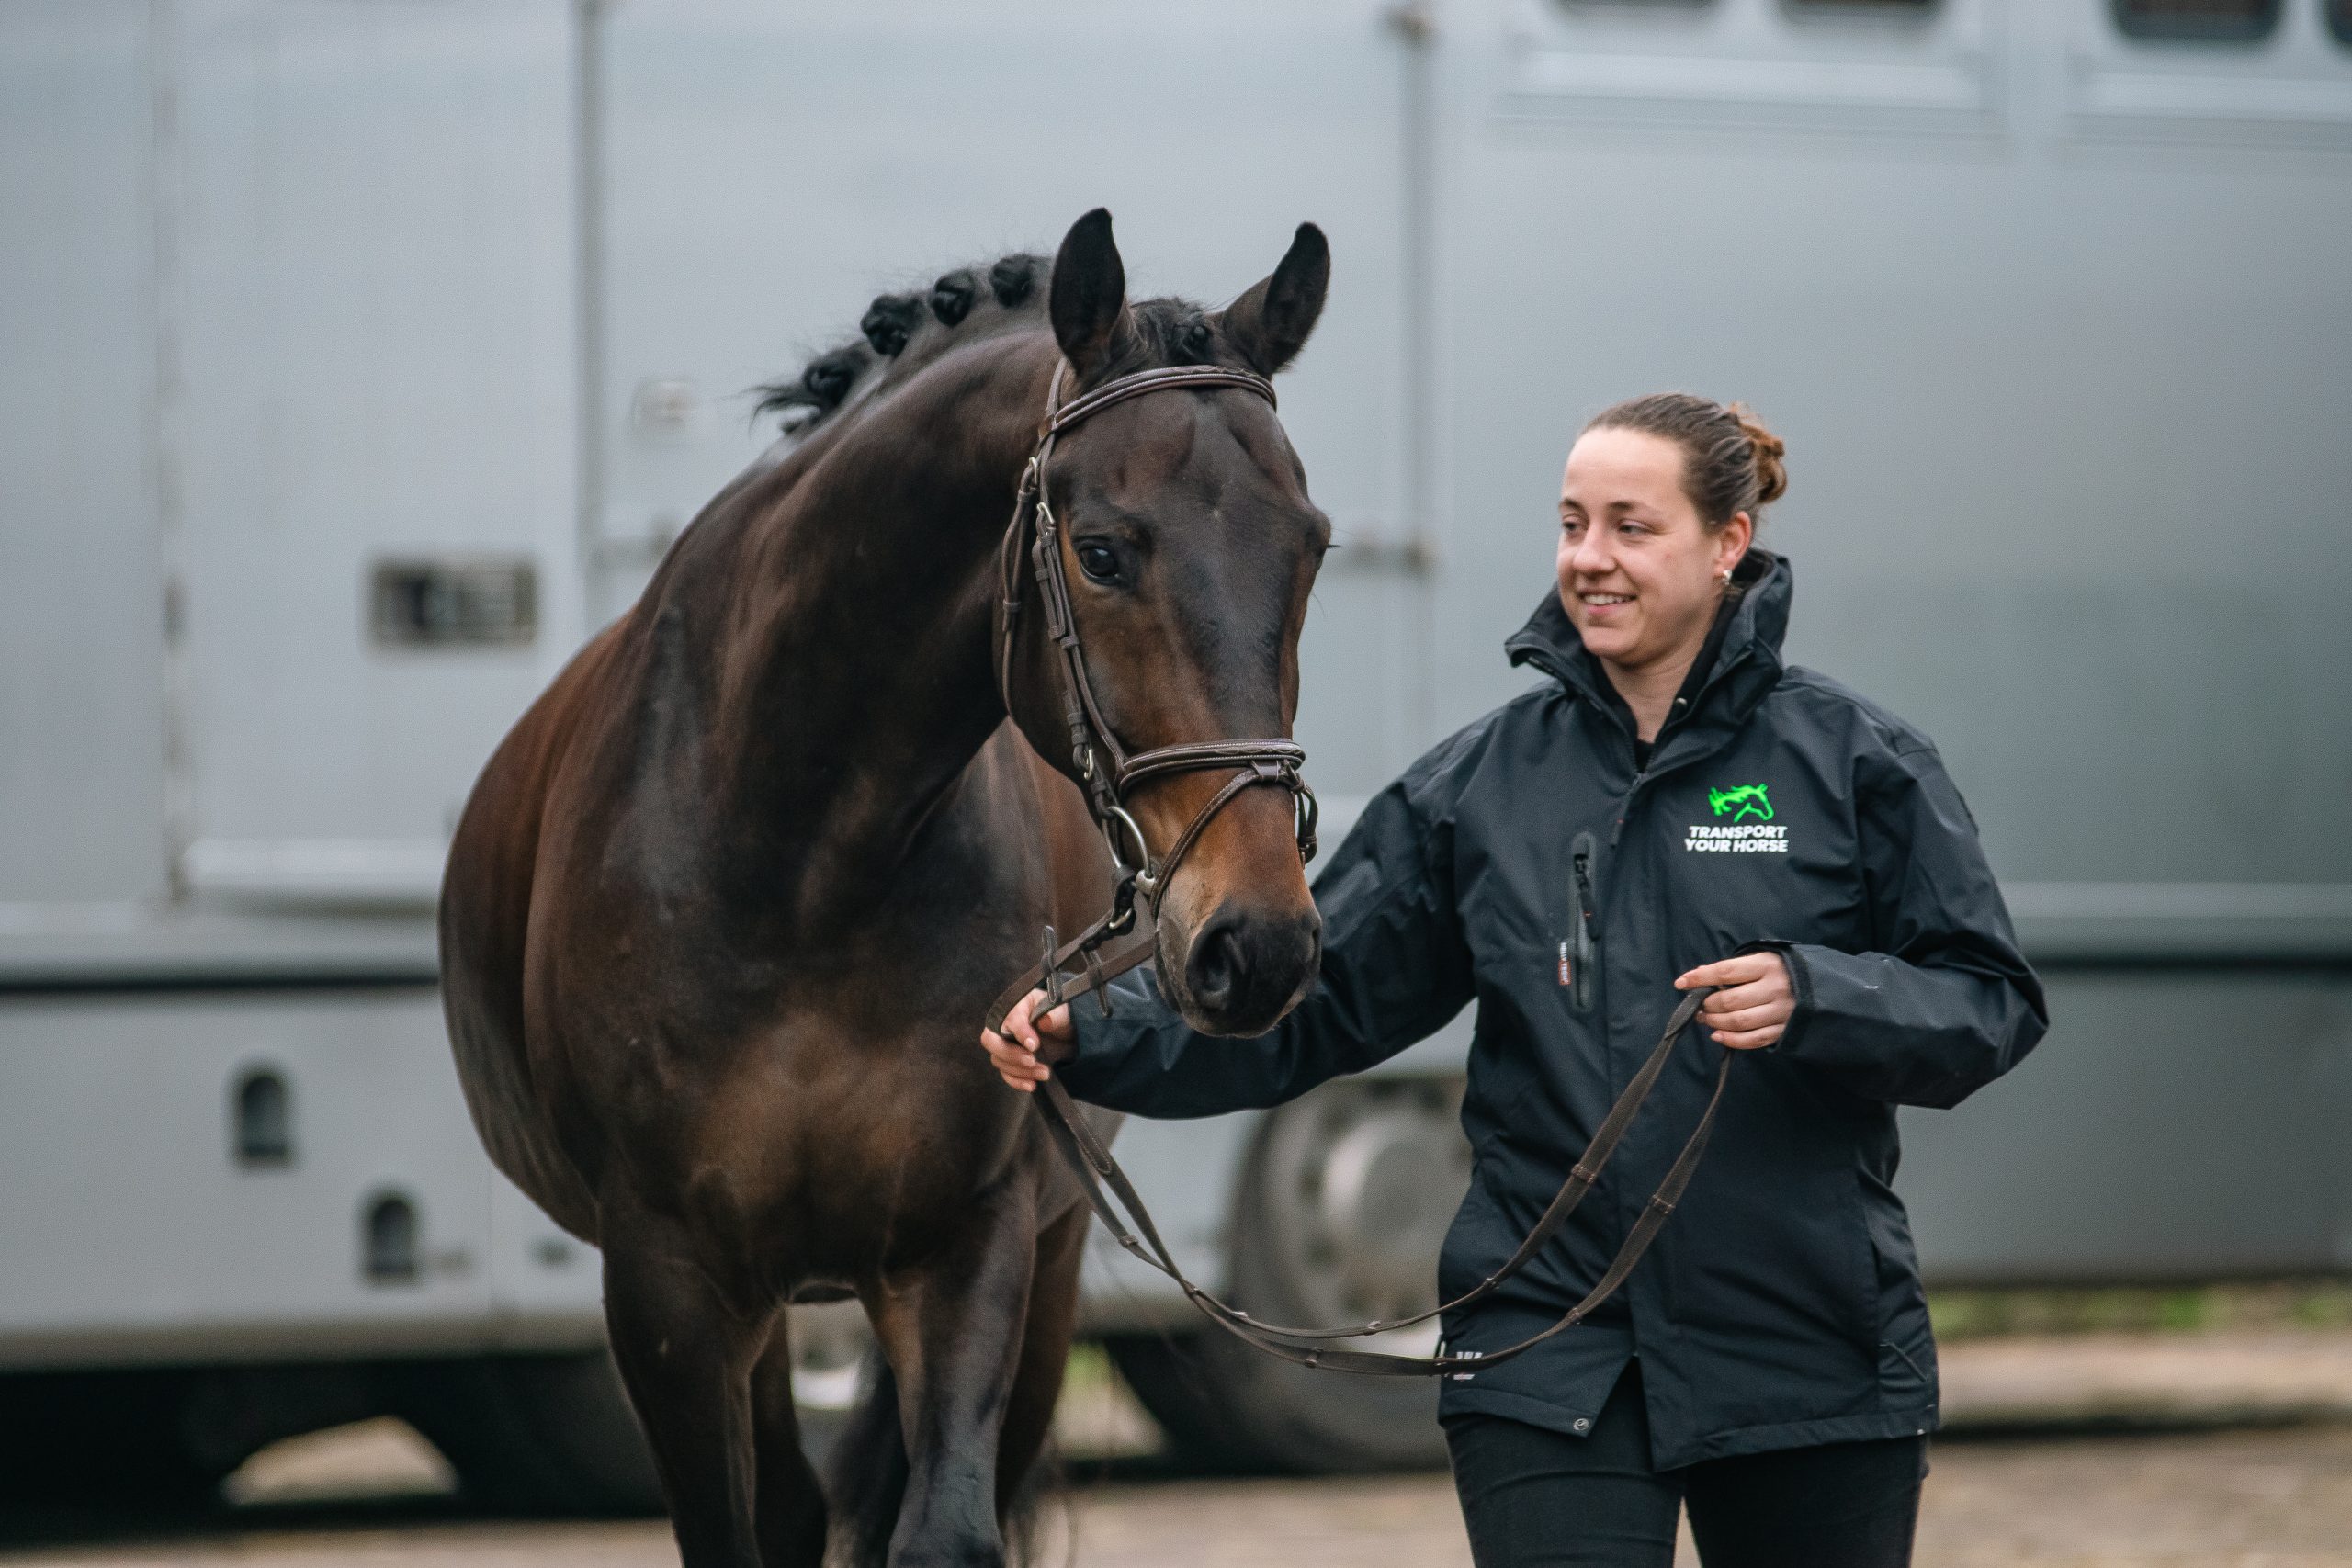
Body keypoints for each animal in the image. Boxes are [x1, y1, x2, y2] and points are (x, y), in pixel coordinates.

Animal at [435, 211, 1336, 1568]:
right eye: (1103, 551)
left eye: (1312, 549)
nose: (1260, 940)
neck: (805, 864)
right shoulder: (668, 1285)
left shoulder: (967, 1245)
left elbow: (944, 1529)